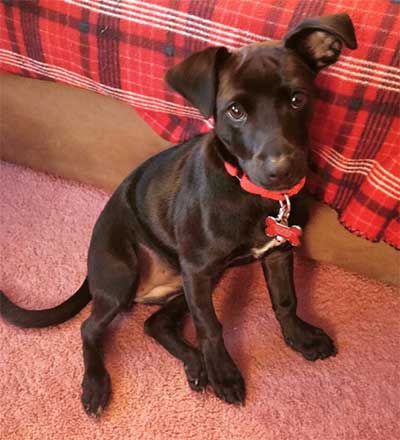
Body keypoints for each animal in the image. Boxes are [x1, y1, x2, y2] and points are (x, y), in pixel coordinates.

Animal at [0, 13, 356, 416]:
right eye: (235, 111)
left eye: (297, 99)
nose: (281, 171)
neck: (252, 194)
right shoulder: (199, 271)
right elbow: (210, 326)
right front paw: (224, 373)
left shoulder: (276, 253)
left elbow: (285, 300)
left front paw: (299, 337)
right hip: (126, 274)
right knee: (90, 328)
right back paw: (96, 384)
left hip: (190, 283)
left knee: (156, 325)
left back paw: (195, 364)